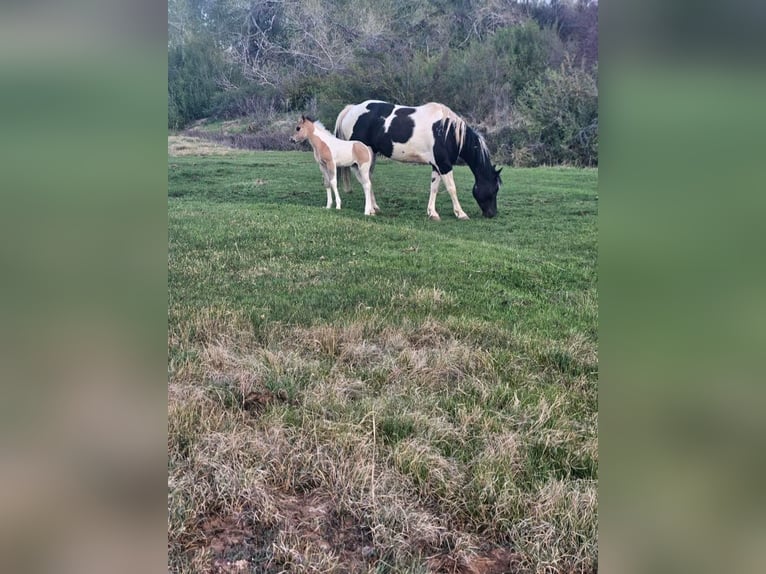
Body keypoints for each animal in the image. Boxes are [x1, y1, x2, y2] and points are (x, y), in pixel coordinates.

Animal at [336, 100, 504, 219]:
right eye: (494, 189)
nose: (492, 214)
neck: (447, 131)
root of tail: (351, 109)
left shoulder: (437, 165)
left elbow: (434, 188)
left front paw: (432, 213)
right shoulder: (444, 165)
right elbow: (451, 188)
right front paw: (460, 213)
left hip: (372, 154)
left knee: (368, 179)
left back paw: (375, 207)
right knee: (364, 179)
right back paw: (370, 209)